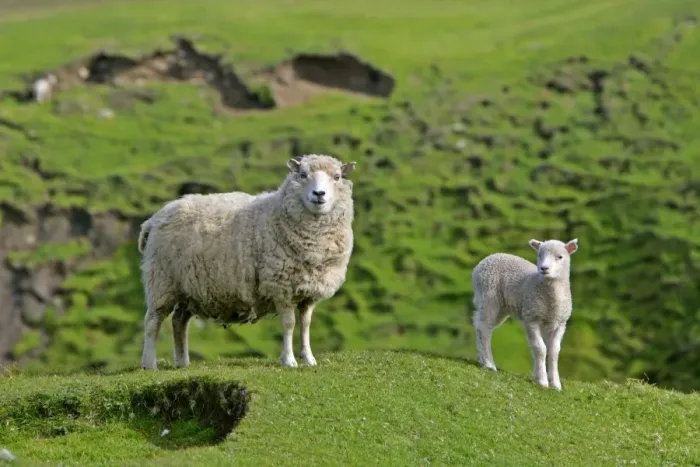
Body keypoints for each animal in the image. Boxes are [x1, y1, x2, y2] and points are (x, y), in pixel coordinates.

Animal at [138, 154, 357, 370]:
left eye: (337, 177)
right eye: (303, 174)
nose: (319, 194)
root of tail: (155, 219)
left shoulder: (308, 291)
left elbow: (305, 324)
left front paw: (309, 359)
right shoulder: (281, 286)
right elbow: (289, 324)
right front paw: (289, 360)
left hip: (188, 287)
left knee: (179, 320)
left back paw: (182, 362)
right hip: (161, 279)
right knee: (152, 321)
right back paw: (150, 364)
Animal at [471, 238, 579, 390]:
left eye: (560, 257)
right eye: (539, 255)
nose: (544, 268)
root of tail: (483, 261)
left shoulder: (559, 323)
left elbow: (554, 351)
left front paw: (555, 384)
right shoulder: (531, 317)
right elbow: (540, 348)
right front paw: (542, 381)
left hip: (501, 307)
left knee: (482, 324)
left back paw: (482, 360)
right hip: (489, 296)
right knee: (484, 327)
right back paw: (489, 364)